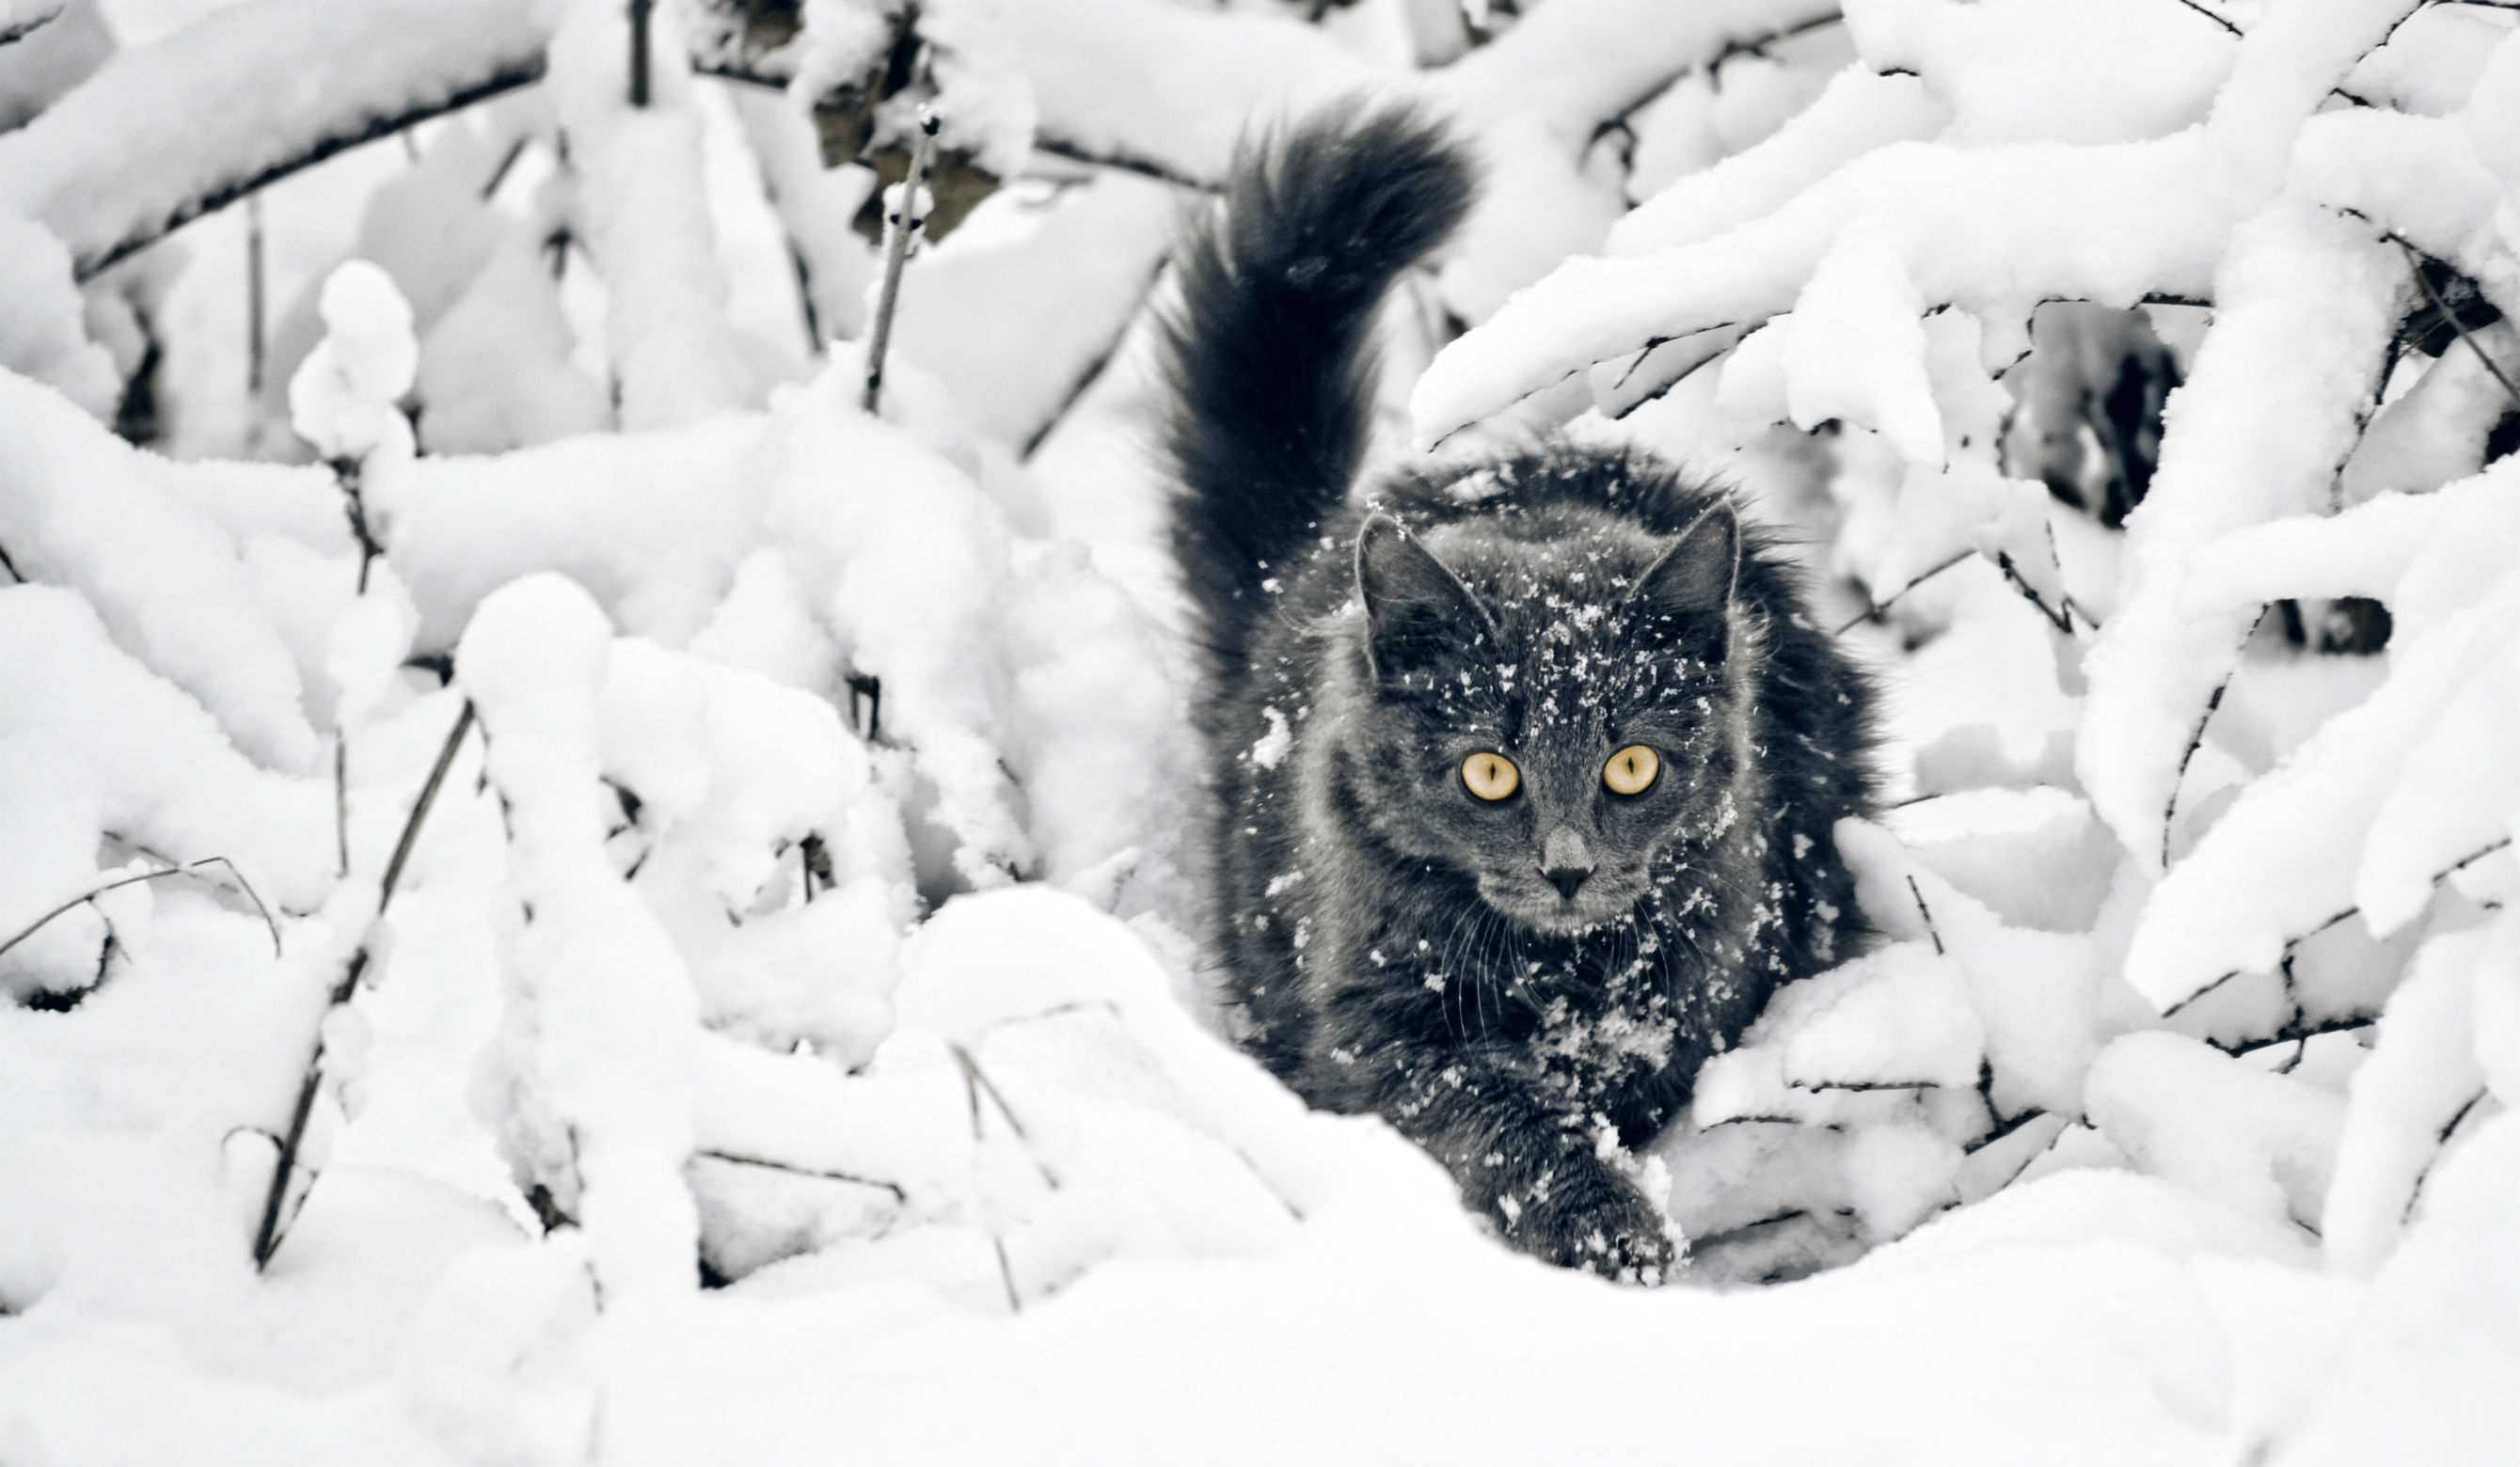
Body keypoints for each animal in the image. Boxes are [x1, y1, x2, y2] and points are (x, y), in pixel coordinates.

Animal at [1159, 103, 1875, 1280]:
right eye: (1488, 773)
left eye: (1632, 765)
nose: (1569, 868)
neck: (1562, 978)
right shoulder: (1376, 1022)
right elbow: (1502, 1116)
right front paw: (1608, 1229)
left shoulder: (1712, 972)